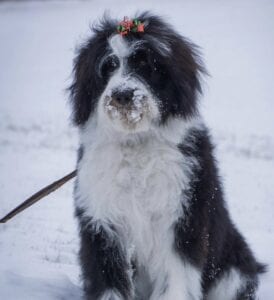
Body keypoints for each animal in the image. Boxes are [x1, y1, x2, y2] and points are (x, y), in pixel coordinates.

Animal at [69, 12, 266, 300]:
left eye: (145, 65)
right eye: (109, 65)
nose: (123, 95)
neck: (137, 142)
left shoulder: (183, 218)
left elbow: (176, 276)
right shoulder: (102, 223)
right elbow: (108, 280)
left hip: (233, 272)